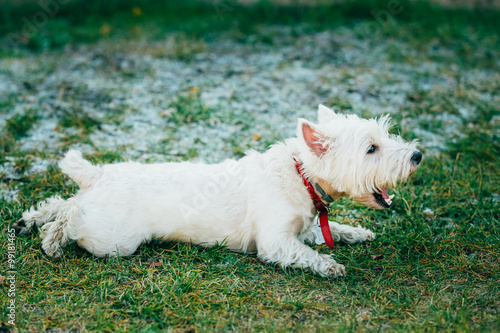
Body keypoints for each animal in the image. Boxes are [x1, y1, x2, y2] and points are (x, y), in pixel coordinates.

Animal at [15, 105, 420, 276]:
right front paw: (331, 265)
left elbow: (331, 230)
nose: (417, 155)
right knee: (70, 215)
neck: (300, 174)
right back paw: (50, 239)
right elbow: (308, 253)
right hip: (113, 239)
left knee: (61, 202)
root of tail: (96, 174)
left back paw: (28, 221)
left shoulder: (304, 227)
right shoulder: (276, 242)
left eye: (384, 137)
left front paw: (358, 232)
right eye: (371, 149)